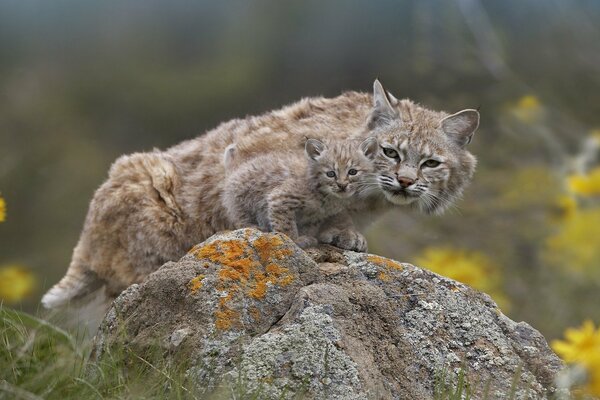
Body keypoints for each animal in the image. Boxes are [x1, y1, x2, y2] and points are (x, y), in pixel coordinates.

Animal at [223, 138, 378, 250]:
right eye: (330, 174)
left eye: (353, 172)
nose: (342, 185)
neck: (328, 196)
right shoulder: (279, 198)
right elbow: (285, 225)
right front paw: (295, 240)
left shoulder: (315, 216)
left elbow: (309, 227)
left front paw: (306, 237)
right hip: (243, 199)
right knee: (240, 219)